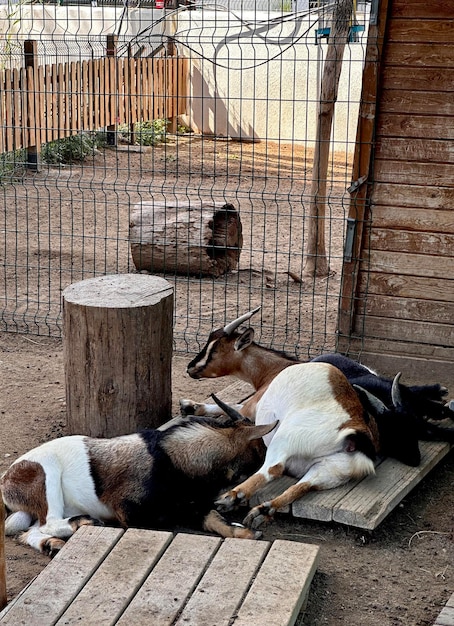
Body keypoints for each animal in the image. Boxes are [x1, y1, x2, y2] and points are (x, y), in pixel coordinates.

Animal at [0, 414, 276, 552]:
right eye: (260, 447)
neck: (171, 458)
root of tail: (7, 480)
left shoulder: (194, 505)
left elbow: (212, 518)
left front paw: (245, 531)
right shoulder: (129, 512)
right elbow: (170, 519)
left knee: (29, 531)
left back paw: (51, 545)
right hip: (48, 476)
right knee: (49, 522)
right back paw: (85, 522)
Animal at [182, 304, 454, 442]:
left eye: (214, 349)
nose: (190, 368)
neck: (274, 370)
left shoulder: (253, 407)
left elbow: (232, 406)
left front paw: (192, 406)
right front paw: (190, 405)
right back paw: (439, 394)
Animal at [213, 360, 422, 528]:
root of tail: (357, 435)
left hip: (287, 439)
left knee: (273, 469)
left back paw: (231, 498)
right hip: (331, 470)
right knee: (302, 486)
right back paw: (264, 511)